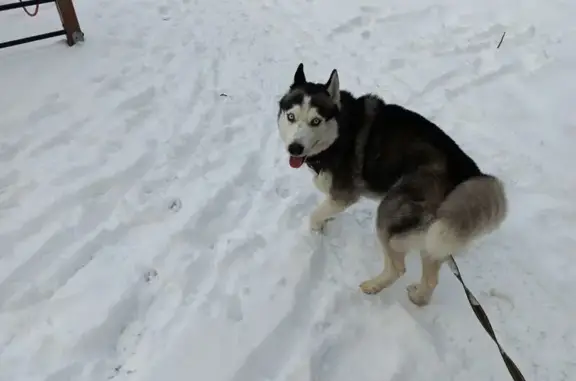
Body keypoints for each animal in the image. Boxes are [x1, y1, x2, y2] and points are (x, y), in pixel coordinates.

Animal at [276, 63, 506, 304]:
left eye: (316, 121)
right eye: (291, 116)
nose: (295, 148)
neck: (340, 131)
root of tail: (468, 173)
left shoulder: (344, 195)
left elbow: (315, 215)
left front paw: (316, 232)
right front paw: (325, 223)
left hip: (390, 213)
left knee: (397, 267)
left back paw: (373, 286)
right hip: (435, 234)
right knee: (431, 277)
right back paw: (418, 299)